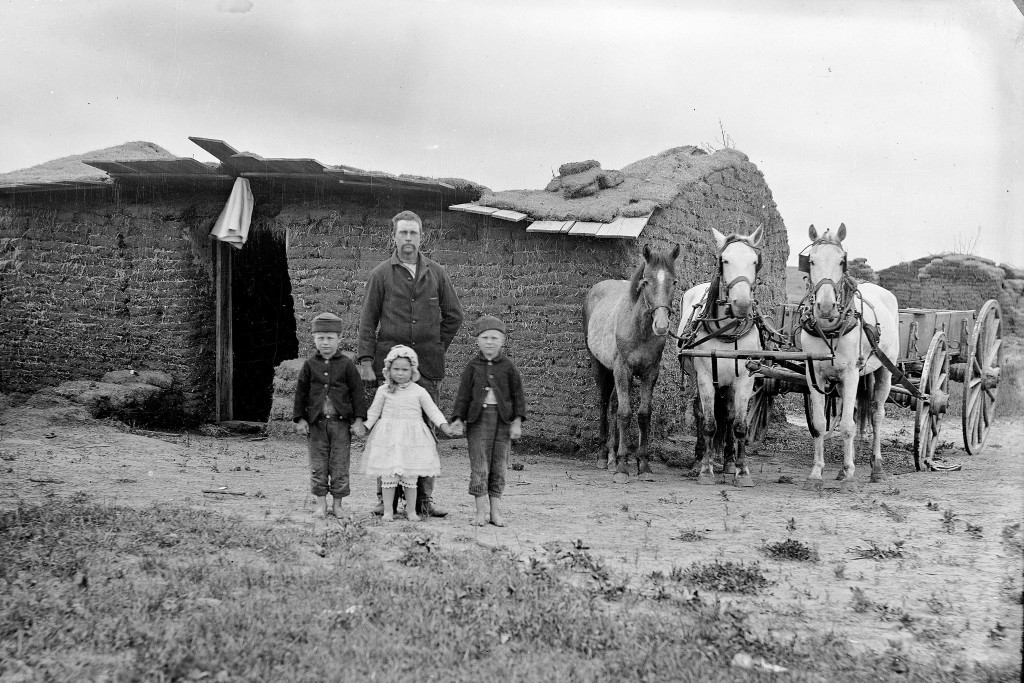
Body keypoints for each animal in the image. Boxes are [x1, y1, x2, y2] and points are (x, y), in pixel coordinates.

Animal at [675, 227, 765, 483]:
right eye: (724, 260)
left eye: (755, 261)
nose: (742, 304)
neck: (727, 331)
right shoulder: (706, 377)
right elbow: (708, 423)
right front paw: (705, 469)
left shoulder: (745, 379)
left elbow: (739, 425)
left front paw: (742, 470)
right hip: (698, 378)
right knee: (699, 412)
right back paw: (698, 460)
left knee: (728, 415)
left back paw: (728, 462)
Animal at [794, 225, 901, 491]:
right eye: (811, 260)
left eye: (842, 261)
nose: (825, 307)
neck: (830, 329)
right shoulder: (814, 375)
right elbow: (820, 424)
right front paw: (816, 472)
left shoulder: (852, 373)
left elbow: (847, 426)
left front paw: (851, 473)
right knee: (851, 410)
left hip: (885, 371)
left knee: (876, 414)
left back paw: (877, 468)